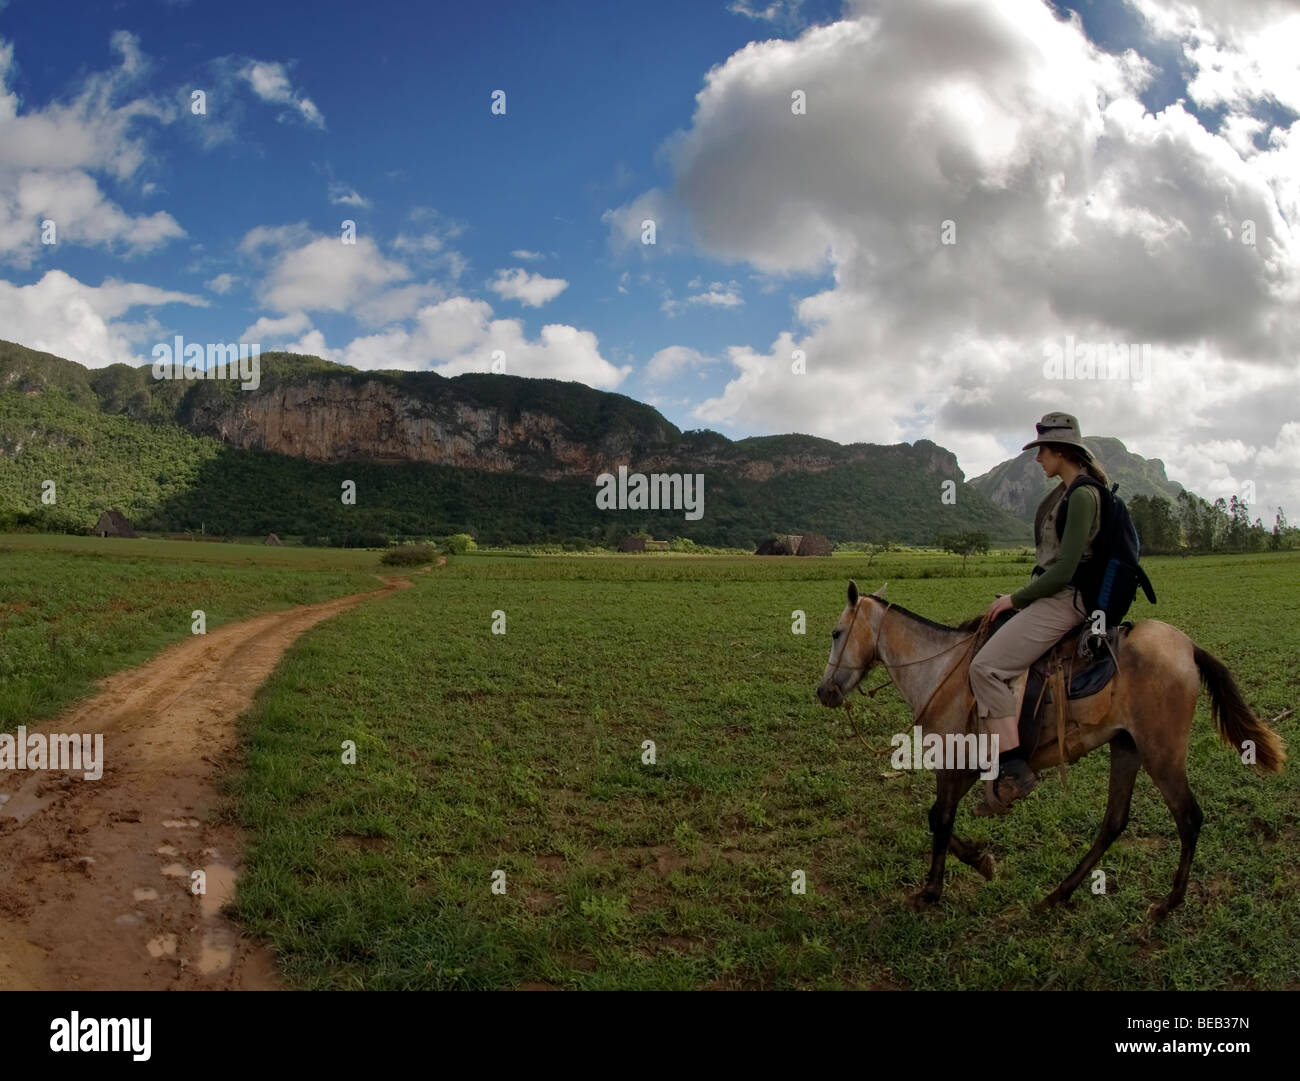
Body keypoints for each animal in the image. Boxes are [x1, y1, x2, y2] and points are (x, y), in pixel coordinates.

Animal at [816, 582, 1284, 919]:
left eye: (836, 633)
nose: (824, 691)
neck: (941, 671)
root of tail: (1187, 647)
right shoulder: (968, 767)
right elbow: (939, 819)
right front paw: (981, 862)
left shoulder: (953, 764)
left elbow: (940, 820)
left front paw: (932, 890)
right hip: (1127, 747)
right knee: (1114, 822)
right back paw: (1057, 895)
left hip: (1162, 754)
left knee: (1188, 819)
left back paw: (1167, 905)